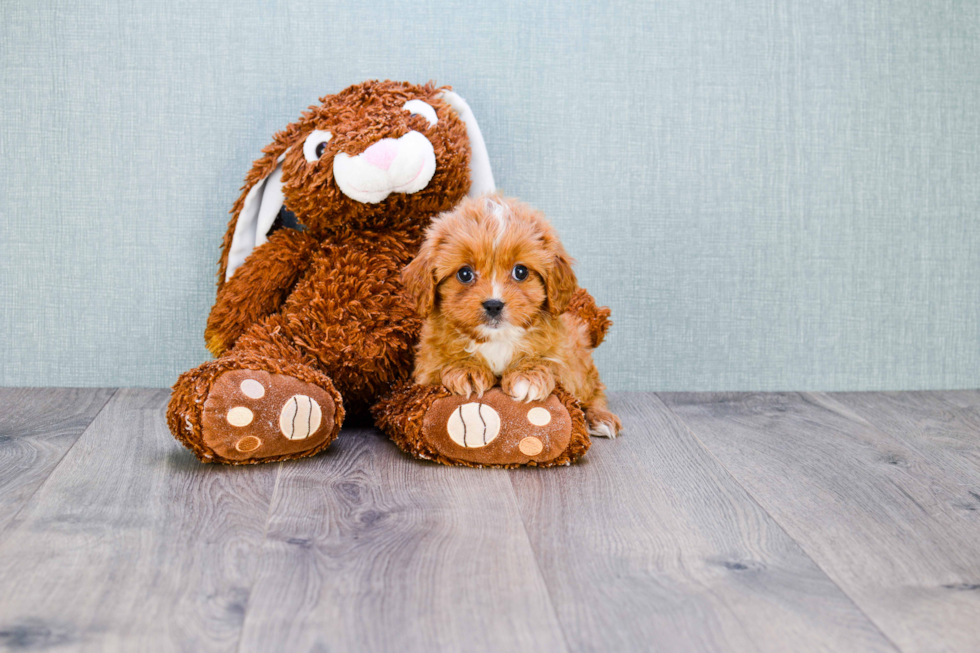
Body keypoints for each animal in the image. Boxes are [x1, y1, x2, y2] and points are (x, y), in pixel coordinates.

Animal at [404, 194, 620, 438]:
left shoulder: (565, 358)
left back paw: (599, 417)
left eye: (521, 272)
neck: (497, 339)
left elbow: (548, 363)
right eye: (465, 274)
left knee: (594, 393)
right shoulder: (427, 368)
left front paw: (528, 375)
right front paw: (466, 370)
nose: (493, 305)